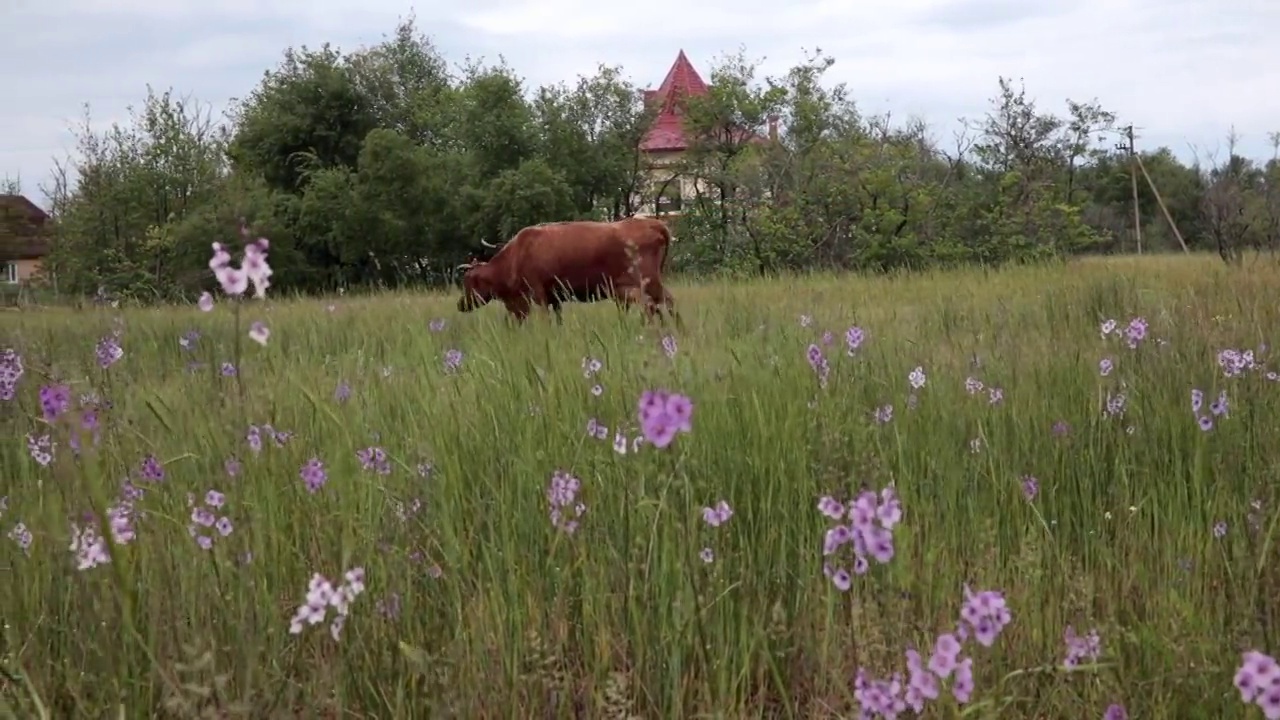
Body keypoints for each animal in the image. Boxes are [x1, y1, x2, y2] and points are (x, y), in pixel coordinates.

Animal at [458, 213, 680, 324]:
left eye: (468, 282)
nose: (460, 304)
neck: (515, 256)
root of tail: (654, 224)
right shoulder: (554, 298)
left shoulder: (538, 294)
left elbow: (545, 321)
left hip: (648, 282)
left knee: (663, 303)